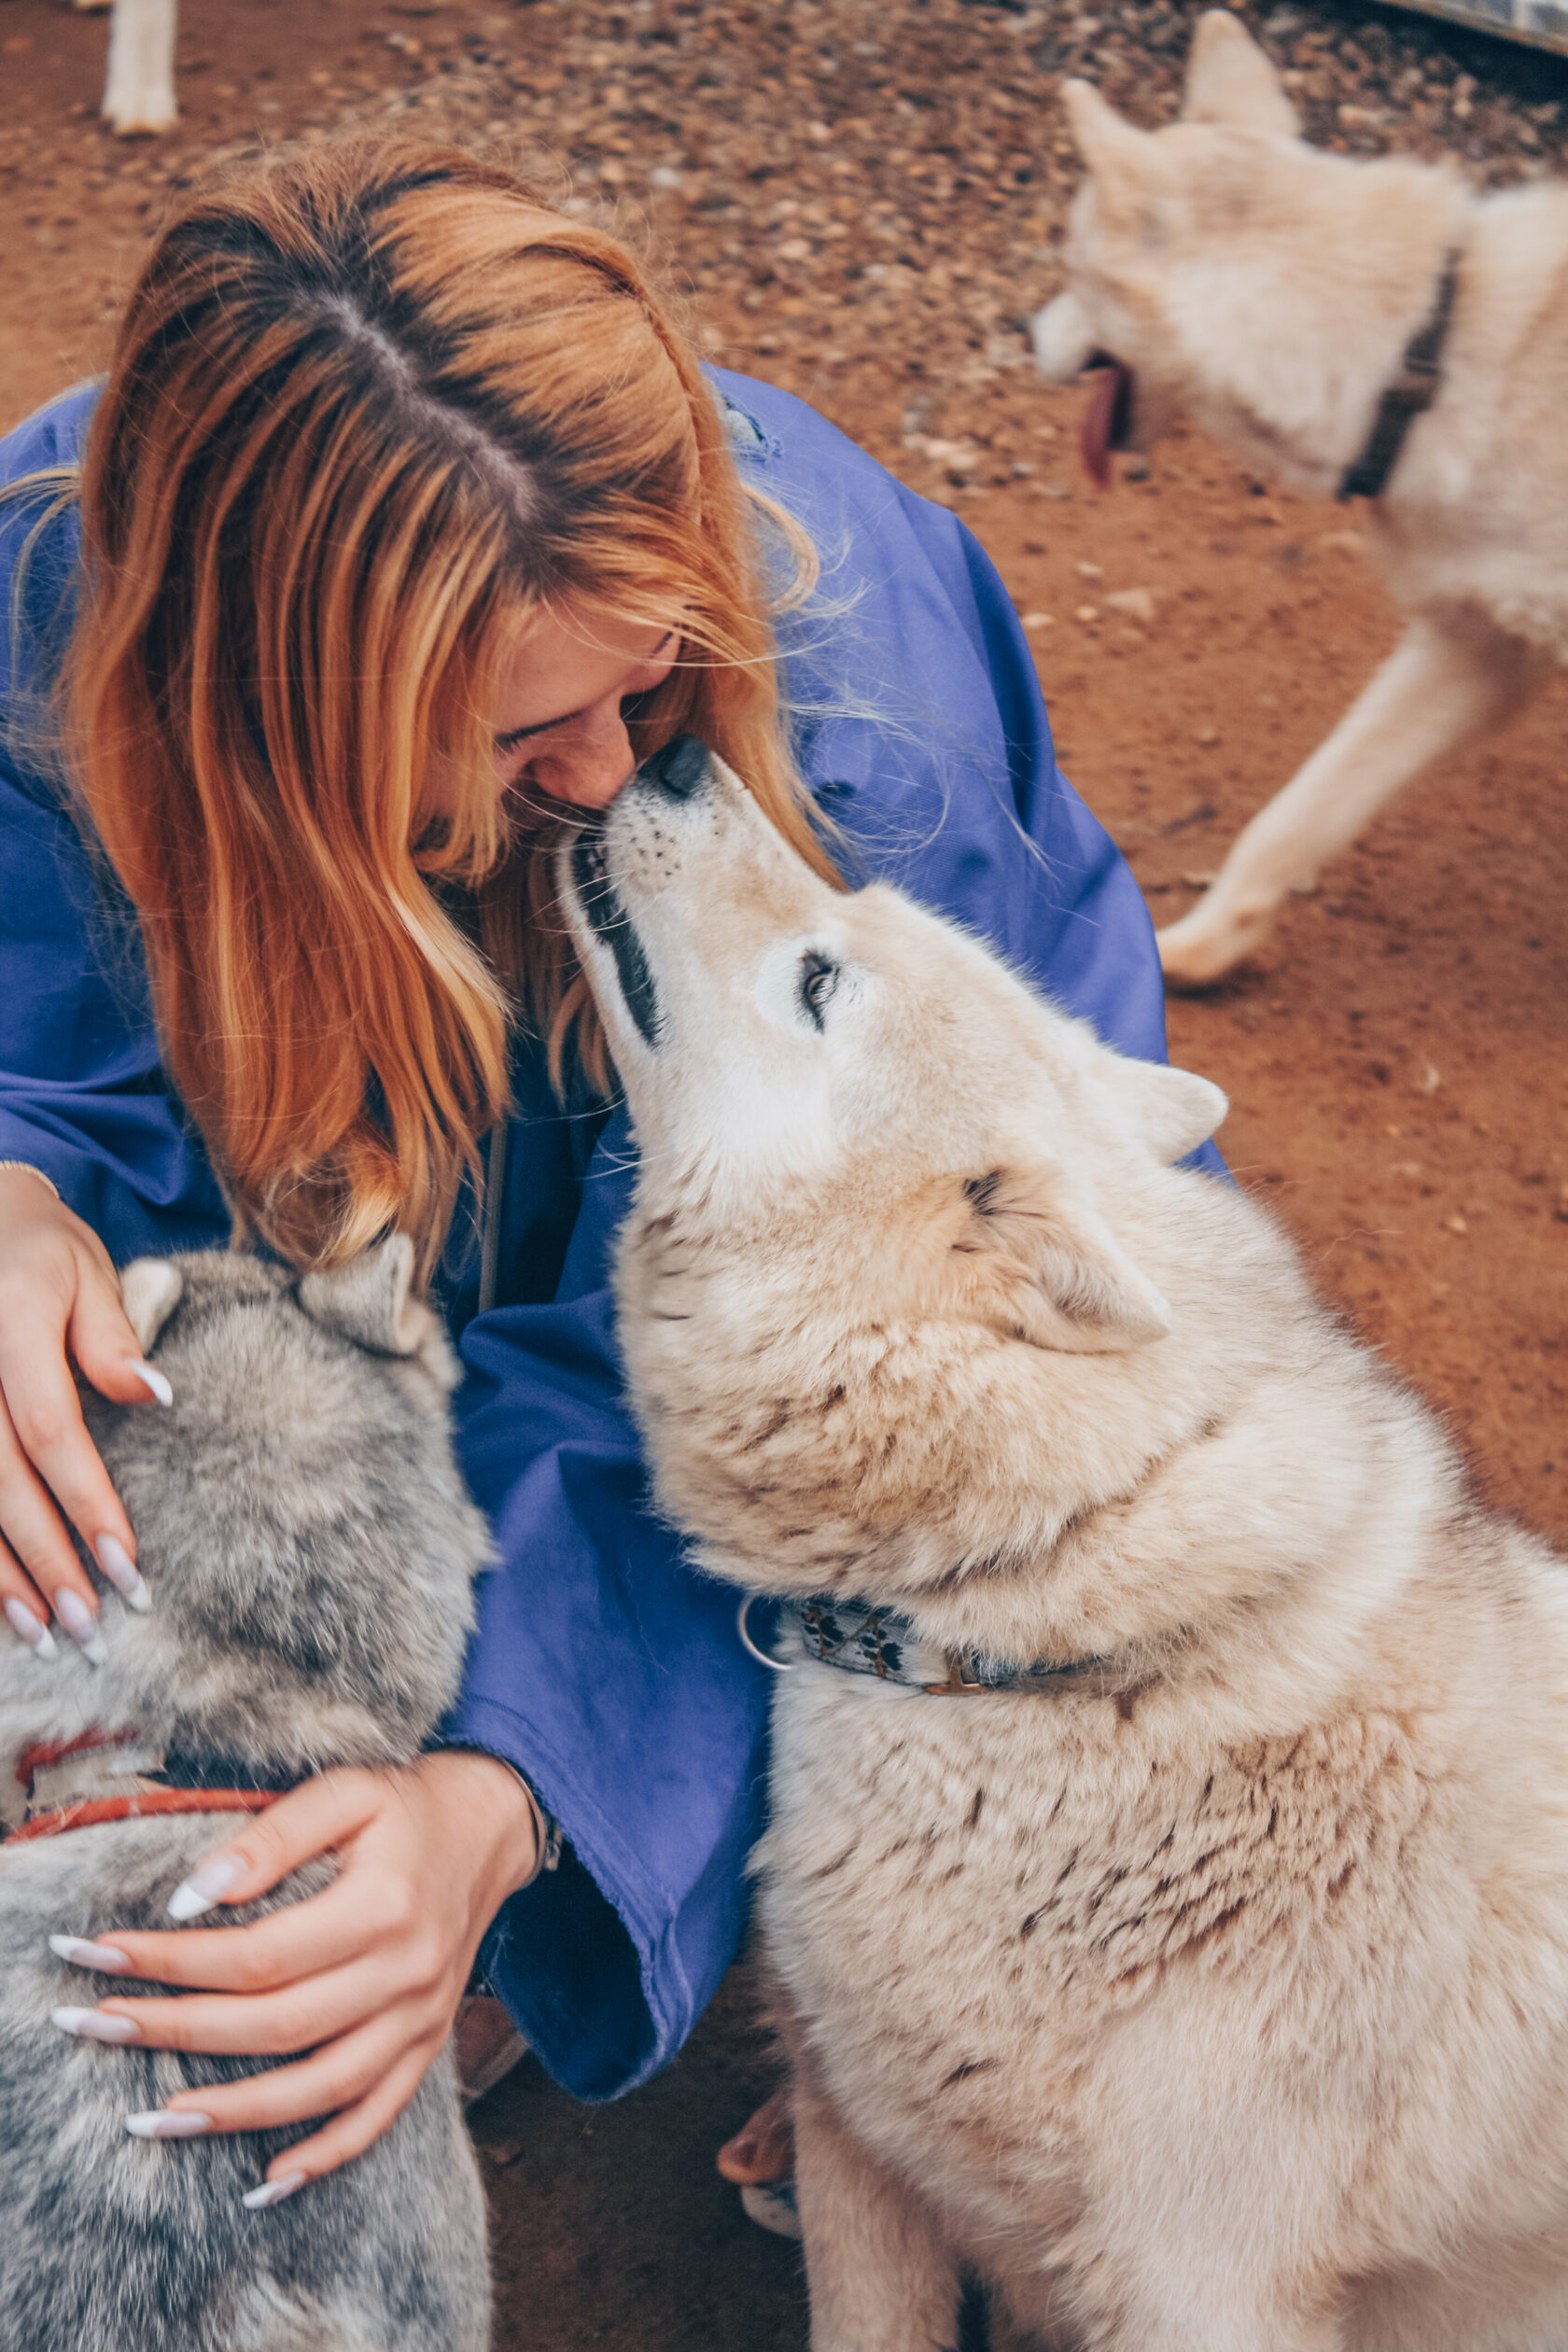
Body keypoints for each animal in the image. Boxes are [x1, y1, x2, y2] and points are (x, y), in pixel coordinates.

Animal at [1034, 11, 1561, 983]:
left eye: (1068, 265)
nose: (1022, 334)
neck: (1425, 353)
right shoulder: (1481, 649)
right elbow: (1295, 815)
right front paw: (1197, 950)